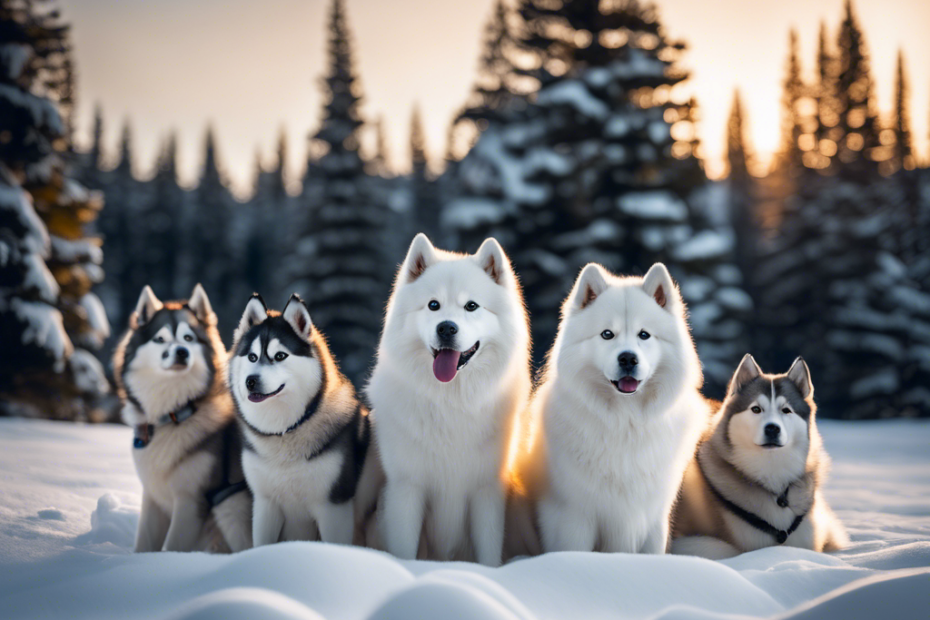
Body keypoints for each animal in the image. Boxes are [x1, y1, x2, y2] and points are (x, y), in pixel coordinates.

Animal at [116, 286, 254, 552]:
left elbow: (171, 547)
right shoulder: (153, 498)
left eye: (188, 338)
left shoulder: (191, 502)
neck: (173, 415)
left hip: (230, 505)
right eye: (160, 339)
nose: (181, 352)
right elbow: (144, 545)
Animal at [228, 294, 376, 544]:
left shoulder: (333, 507)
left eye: (280, 356)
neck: (285, 431)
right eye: (252, 356)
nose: (251, 381)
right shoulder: (265, 505)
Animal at [368, 234, 532, 568]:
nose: (446, 327)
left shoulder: (486, 492)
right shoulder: (407, 488)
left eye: (471, 306)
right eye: (434, 305)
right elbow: (404, 550)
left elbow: (488, 555)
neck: (451, 403)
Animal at [508, 264, 704, 556]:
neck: (624, 421)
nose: (628, 358)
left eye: (644, 334)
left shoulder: (652, 518)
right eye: (607, 334)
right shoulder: (572, 516)